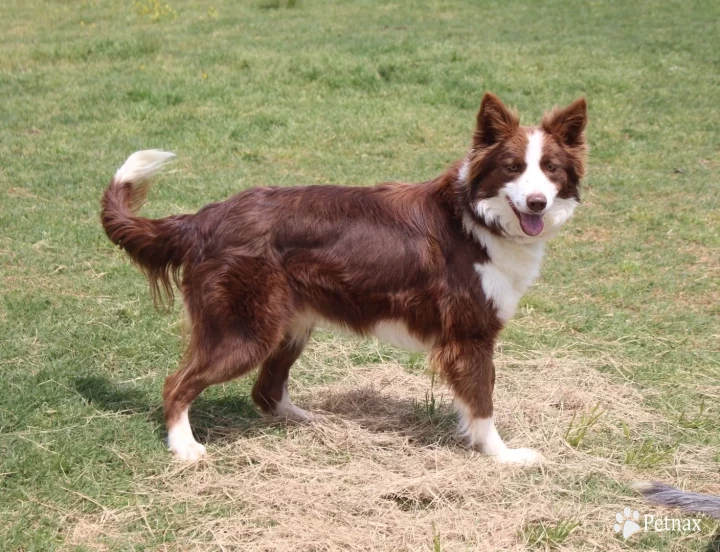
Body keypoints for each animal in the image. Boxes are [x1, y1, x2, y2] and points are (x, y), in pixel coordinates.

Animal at [100, 92, 584, 464]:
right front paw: (504, 456)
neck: (475, 216)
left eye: (551, 169)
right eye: (512, 167)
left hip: (289, 325)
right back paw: (184, 447)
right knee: (177, 384)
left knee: (266, 391)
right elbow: (483, 403)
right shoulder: (470, 335)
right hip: (244, 331)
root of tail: (204, 218)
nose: (537, 203)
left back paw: (310, 421)